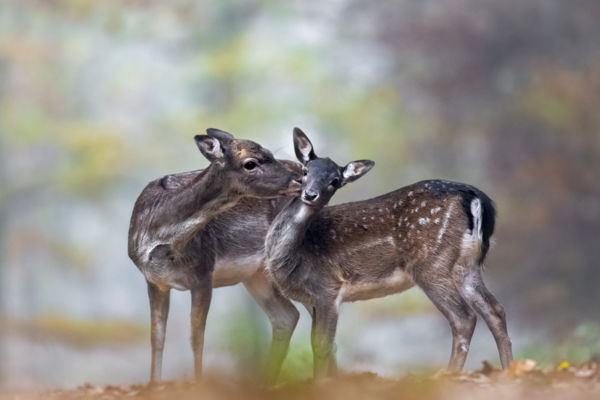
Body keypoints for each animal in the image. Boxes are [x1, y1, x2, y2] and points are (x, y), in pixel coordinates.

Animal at [128, 127, 302, 382]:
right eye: (250, 163)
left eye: (270, 153)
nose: (300, 179)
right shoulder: (154, 280)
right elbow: (157, 336)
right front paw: (153, 384)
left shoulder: (203, 269)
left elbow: (196, 337)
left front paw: (199, 383)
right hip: (256, 275)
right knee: (287, 316)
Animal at [264, 127, 512, 378]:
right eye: (306, 171)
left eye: (335, 181)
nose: (310, 194)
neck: (296, 255)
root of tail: (475, 197)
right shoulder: (313, 299)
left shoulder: (327, 287)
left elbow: (322, 344)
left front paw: (320, 382)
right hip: (467, 264)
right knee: (495, 310)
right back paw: (509, 369)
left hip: (431, 263)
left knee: (464, 317)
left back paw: (447, 375)